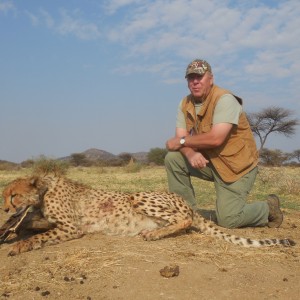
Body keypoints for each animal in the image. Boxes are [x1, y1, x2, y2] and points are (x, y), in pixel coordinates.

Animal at [0, 173, 296, 255]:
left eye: (13, 196)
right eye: (5, 196)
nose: (5, 208)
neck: (44, 189)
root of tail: (185, 201)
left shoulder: (72, 227)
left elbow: (38, 235)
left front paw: (20, 245)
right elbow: (30, 225)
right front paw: (10, 230)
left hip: (138, 196)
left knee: (184, 220)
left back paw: (153, 234)